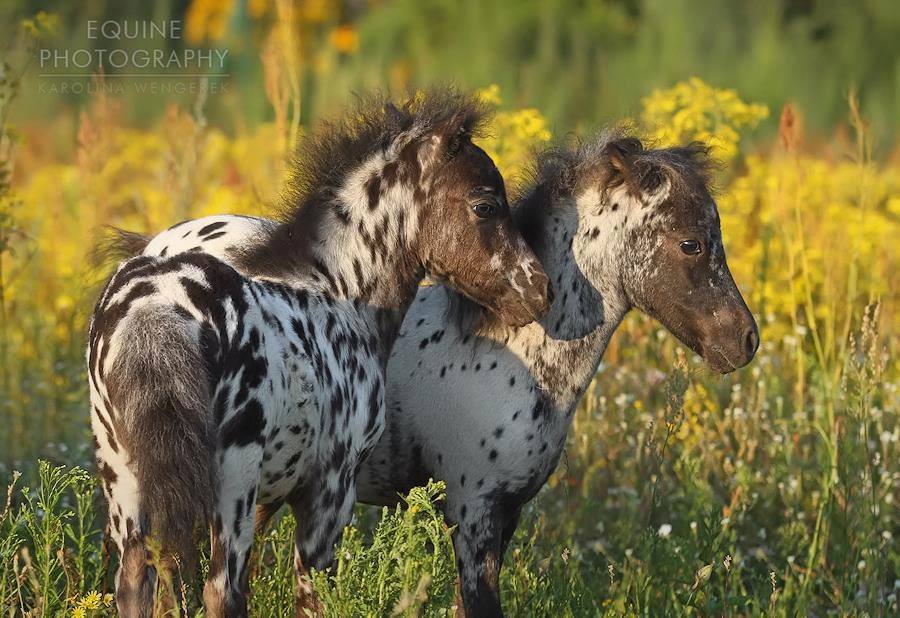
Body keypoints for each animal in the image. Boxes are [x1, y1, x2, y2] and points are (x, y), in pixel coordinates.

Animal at [89, 91, 548, 616]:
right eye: (484, 204)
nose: (540, 290)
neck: (340, 291)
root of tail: (159, 306)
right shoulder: (331, 489)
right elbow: (312, 592)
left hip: (125, 478)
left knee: (136, 581)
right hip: (231, 482)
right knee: (220, 590)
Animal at [123, 129, 756, 612]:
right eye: (693, 243)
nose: (744, 340)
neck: (516, 352)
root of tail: (155, 253)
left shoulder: (506, 516)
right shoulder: (471, 509)